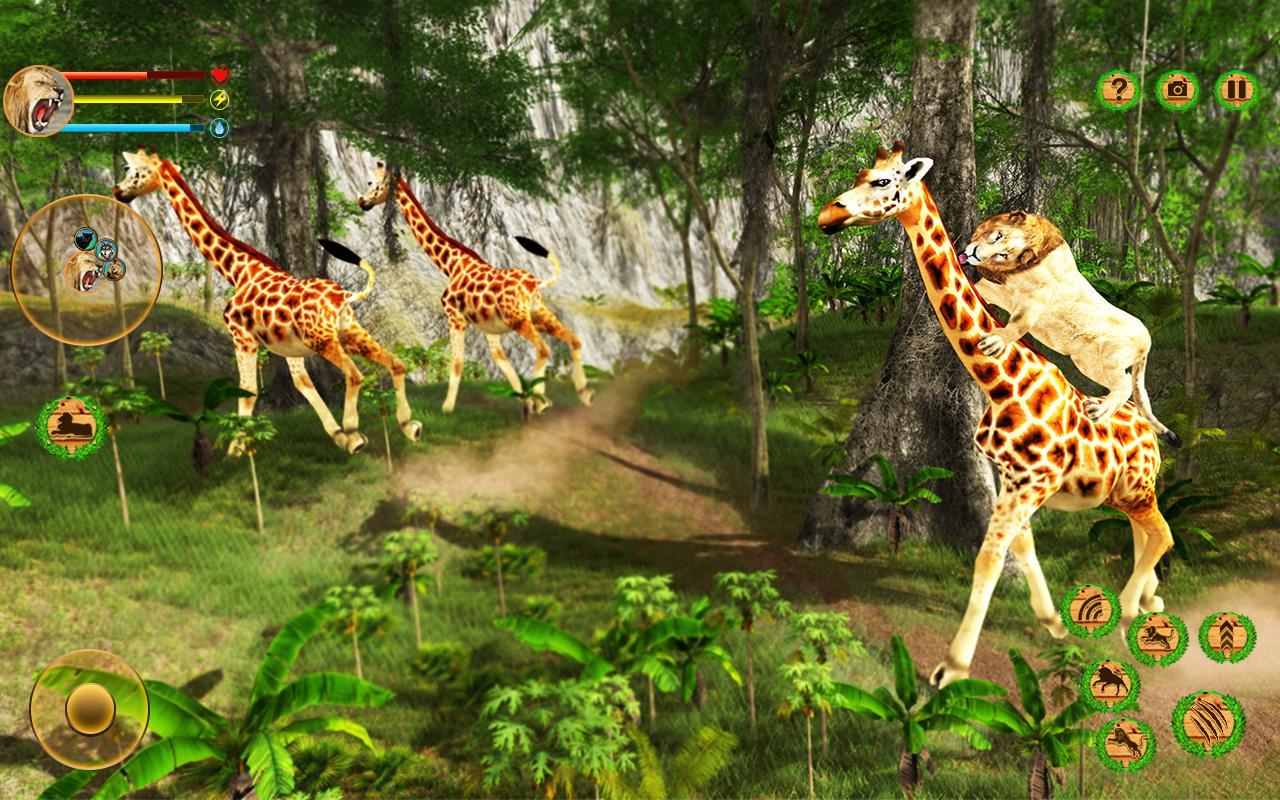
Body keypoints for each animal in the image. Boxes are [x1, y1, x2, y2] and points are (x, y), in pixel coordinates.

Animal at [960, 210, 1179, 445]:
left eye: (1003, 254)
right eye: (997, 236)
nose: (974, 253)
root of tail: (1147, 339)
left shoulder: (1034, 302)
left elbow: (1018, 324)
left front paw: (995, 341)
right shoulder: (995, 290)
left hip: (1109, 359)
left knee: (1125, 384)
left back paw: (1100, 411)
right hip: (1088, 363)